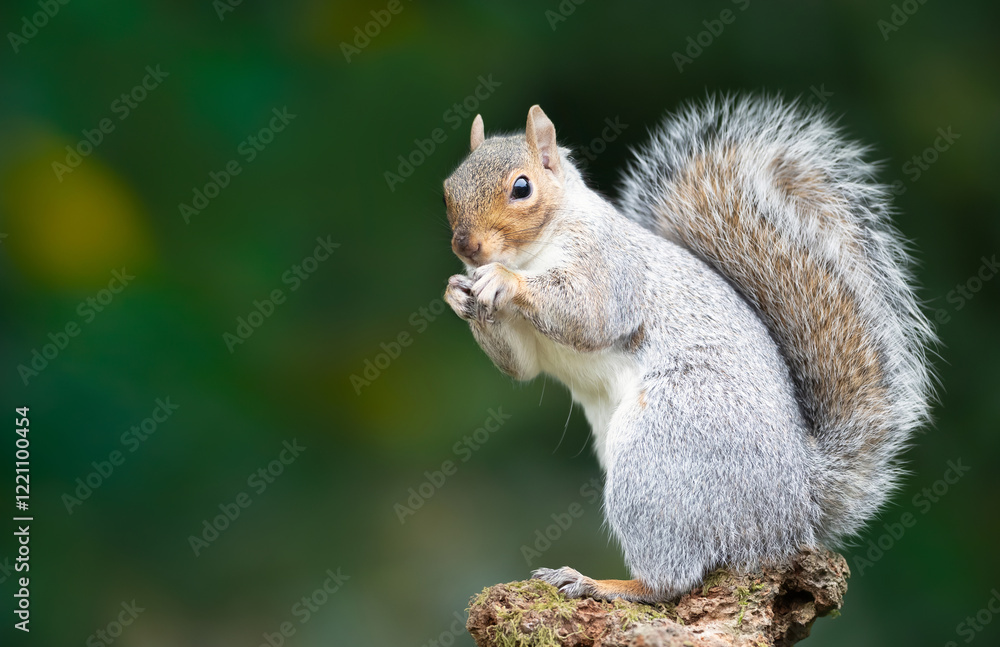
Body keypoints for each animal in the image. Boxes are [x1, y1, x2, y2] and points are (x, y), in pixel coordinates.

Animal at [441, 96, 935, 603]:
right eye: (447, 189)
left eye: (522, 187)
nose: (466, 246)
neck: (533, 252)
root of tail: (794, 505)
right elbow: (520, 366)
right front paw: (457, 293)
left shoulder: (609, 266)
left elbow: (591, 313)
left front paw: (505, 281)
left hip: (662, 447)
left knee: (672, 579)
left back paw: (604, 583)